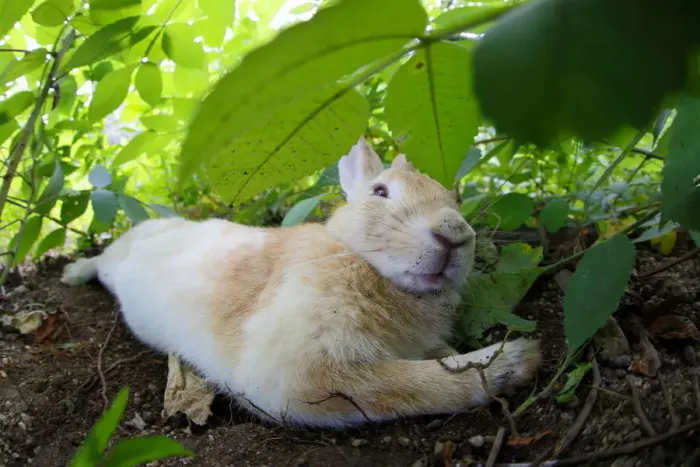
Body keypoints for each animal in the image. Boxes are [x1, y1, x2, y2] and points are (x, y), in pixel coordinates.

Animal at [61, 136, 541, 427]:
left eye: (452, 199)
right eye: (380, 193)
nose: (455, 234)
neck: (359, 258)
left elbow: (438, 359)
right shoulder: (305, 373)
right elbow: (412, 384)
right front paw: (514, 362)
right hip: (114, 262)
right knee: (98, 262)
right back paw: (72, 273)